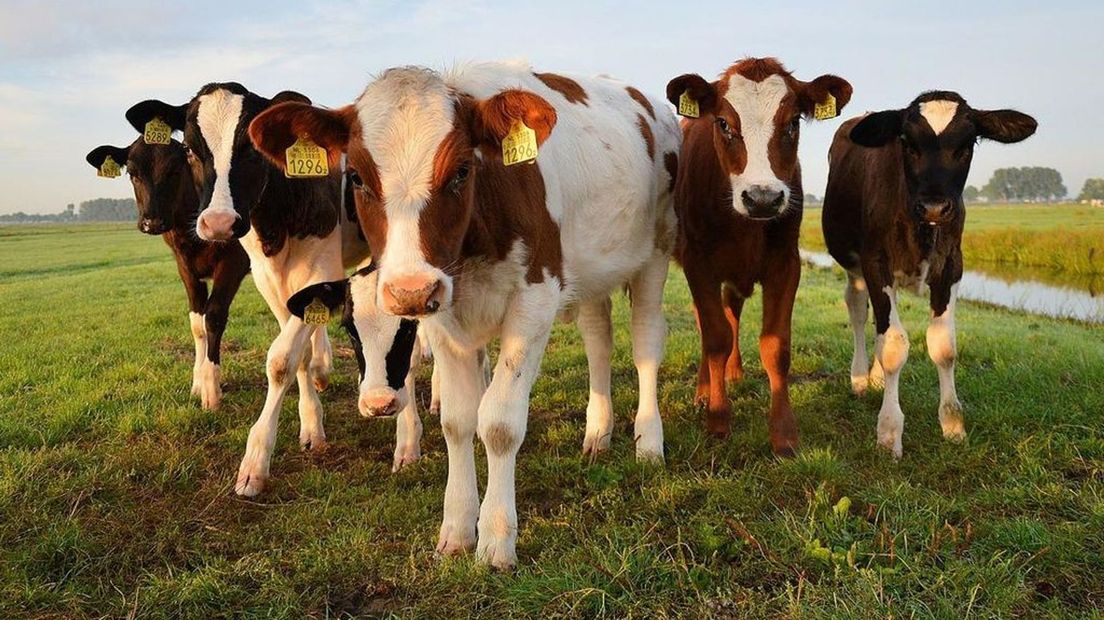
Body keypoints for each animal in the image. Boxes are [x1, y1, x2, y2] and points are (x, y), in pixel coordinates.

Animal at [86, 134, 250, 410]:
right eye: (132, 173)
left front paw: (212, 390)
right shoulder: (185, 267)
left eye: (175, 170)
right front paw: (198, 383)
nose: (152, 222)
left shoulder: (233, 262)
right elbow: (197, 324)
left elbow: (214, 317)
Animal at [252, 61, 680, 564]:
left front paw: (496, 538)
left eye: (460, 171)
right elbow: (458, 420)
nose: (409, 289)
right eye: (355, 177)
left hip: (656, 252)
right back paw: (598, 432)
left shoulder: (536, 299)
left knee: (645, 343)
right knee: (598, 340)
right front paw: (457, 528)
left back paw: (648, 441)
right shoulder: (442, 312)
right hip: (592, 271)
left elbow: (498, 422)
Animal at [662, 57, 852, 454]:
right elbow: (715, 337)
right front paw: (718, 419)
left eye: (793, 122)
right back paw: (705, 390)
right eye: (723, 123)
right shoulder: (698, 264)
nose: (763, 198)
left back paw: (732, 372)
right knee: (708, 324)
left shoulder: (786, 264)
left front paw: (784, 434)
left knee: (732, 310)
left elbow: (775, 346)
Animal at [825, 89, 1037, 454]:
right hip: (854, 267)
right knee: (857, 310)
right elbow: (894, 345)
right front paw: (889, 431)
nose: (935, 207)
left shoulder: (951, 267)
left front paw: (952, 423)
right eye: (908, 143)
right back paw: (860, 377)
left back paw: (877, 377)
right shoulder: (875, 264)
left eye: (967, 144)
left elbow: (943, 347)